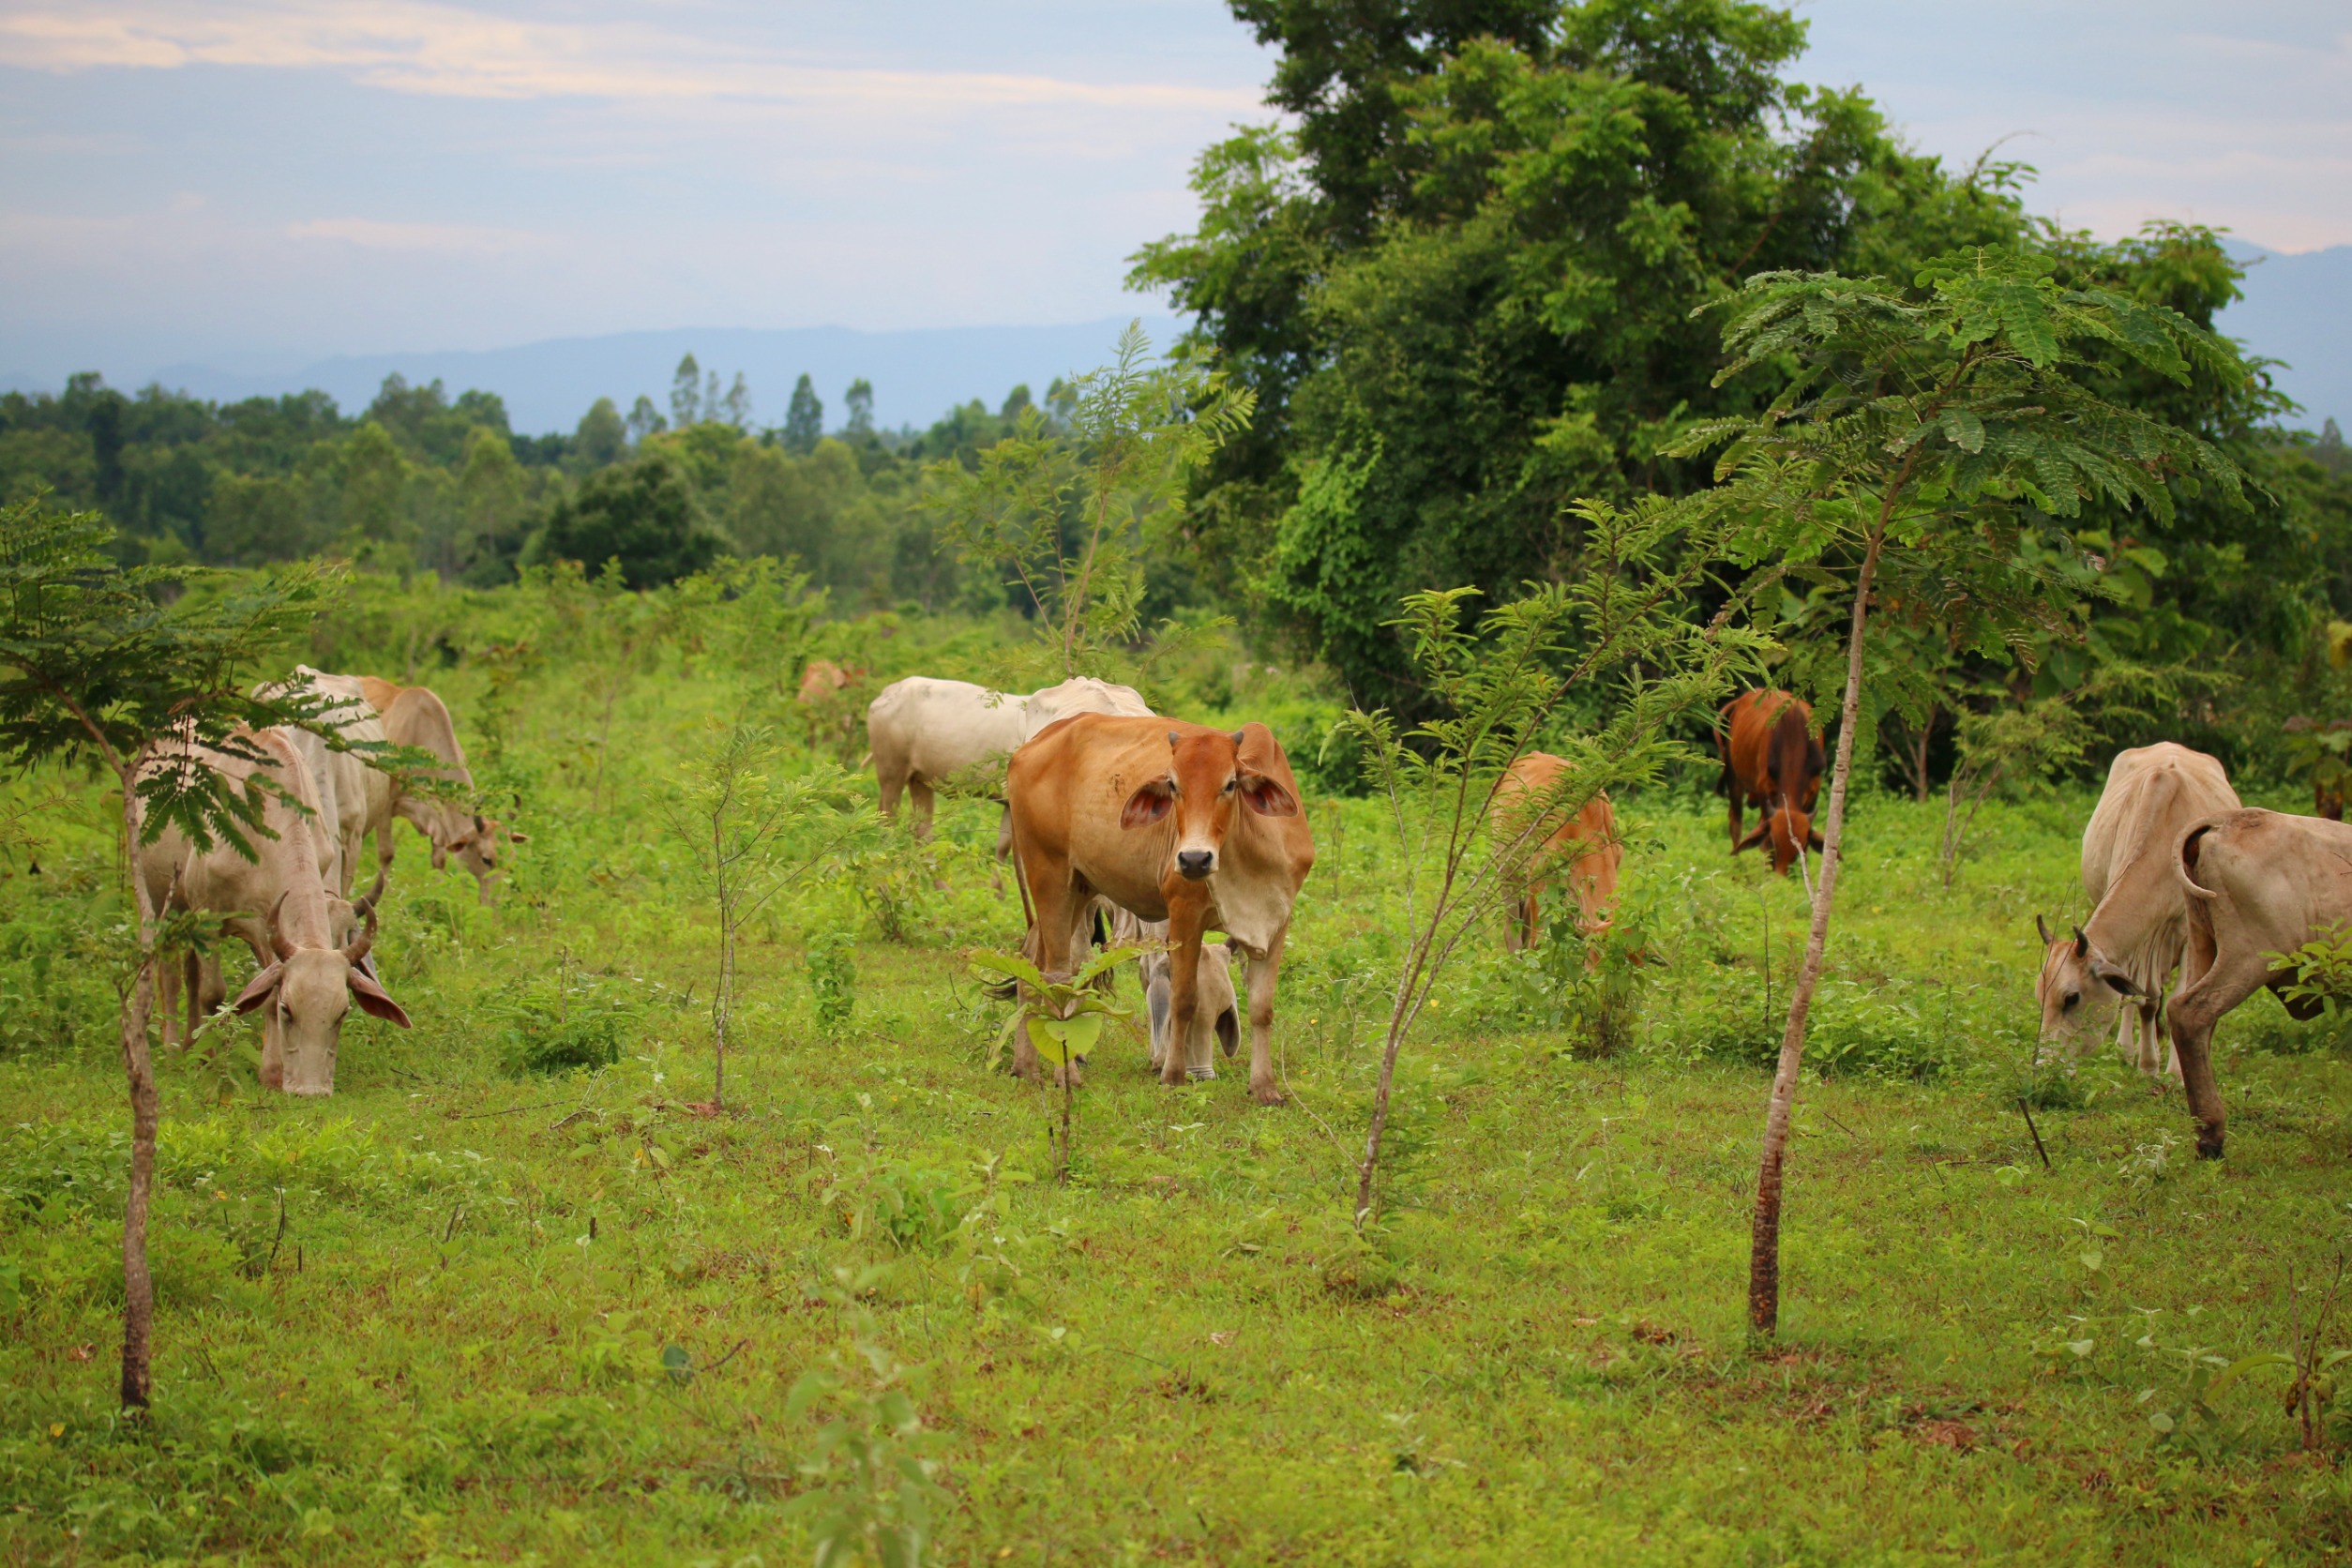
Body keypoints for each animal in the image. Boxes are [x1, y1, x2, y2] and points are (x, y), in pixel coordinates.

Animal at [137, 724, 406, 1091]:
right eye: (288, 1010)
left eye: (342, 1014)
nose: (311, 1090)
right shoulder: (209, 918)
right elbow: (213, 992)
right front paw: (212, 1061)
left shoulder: (267, 926)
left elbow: (263, 992)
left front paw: (271, 1072)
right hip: (163, 901)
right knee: (170, 974)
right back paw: (175, 1047)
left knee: (191, 971)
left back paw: (193, 1041)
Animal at [1721, 690, 1825, 879]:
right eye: (1775, 845)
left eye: (1797, 851)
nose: (1781, 878)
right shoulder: (1765, 790)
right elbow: (1763, 839)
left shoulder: (1814, 791)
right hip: (1733, 777)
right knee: (1735, 823)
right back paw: (1738, 870)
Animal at [2022, 747, 2239, 1081]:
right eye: (2039, 998)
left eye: (2071, 998)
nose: (2045, 1070)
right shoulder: (2138, 943)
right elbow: (2144, 999)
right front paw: (2148, 1065)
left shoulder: (2188, 936)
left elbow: (2178, 999)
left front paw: (2175, 1072)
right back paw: (2125, 1049)